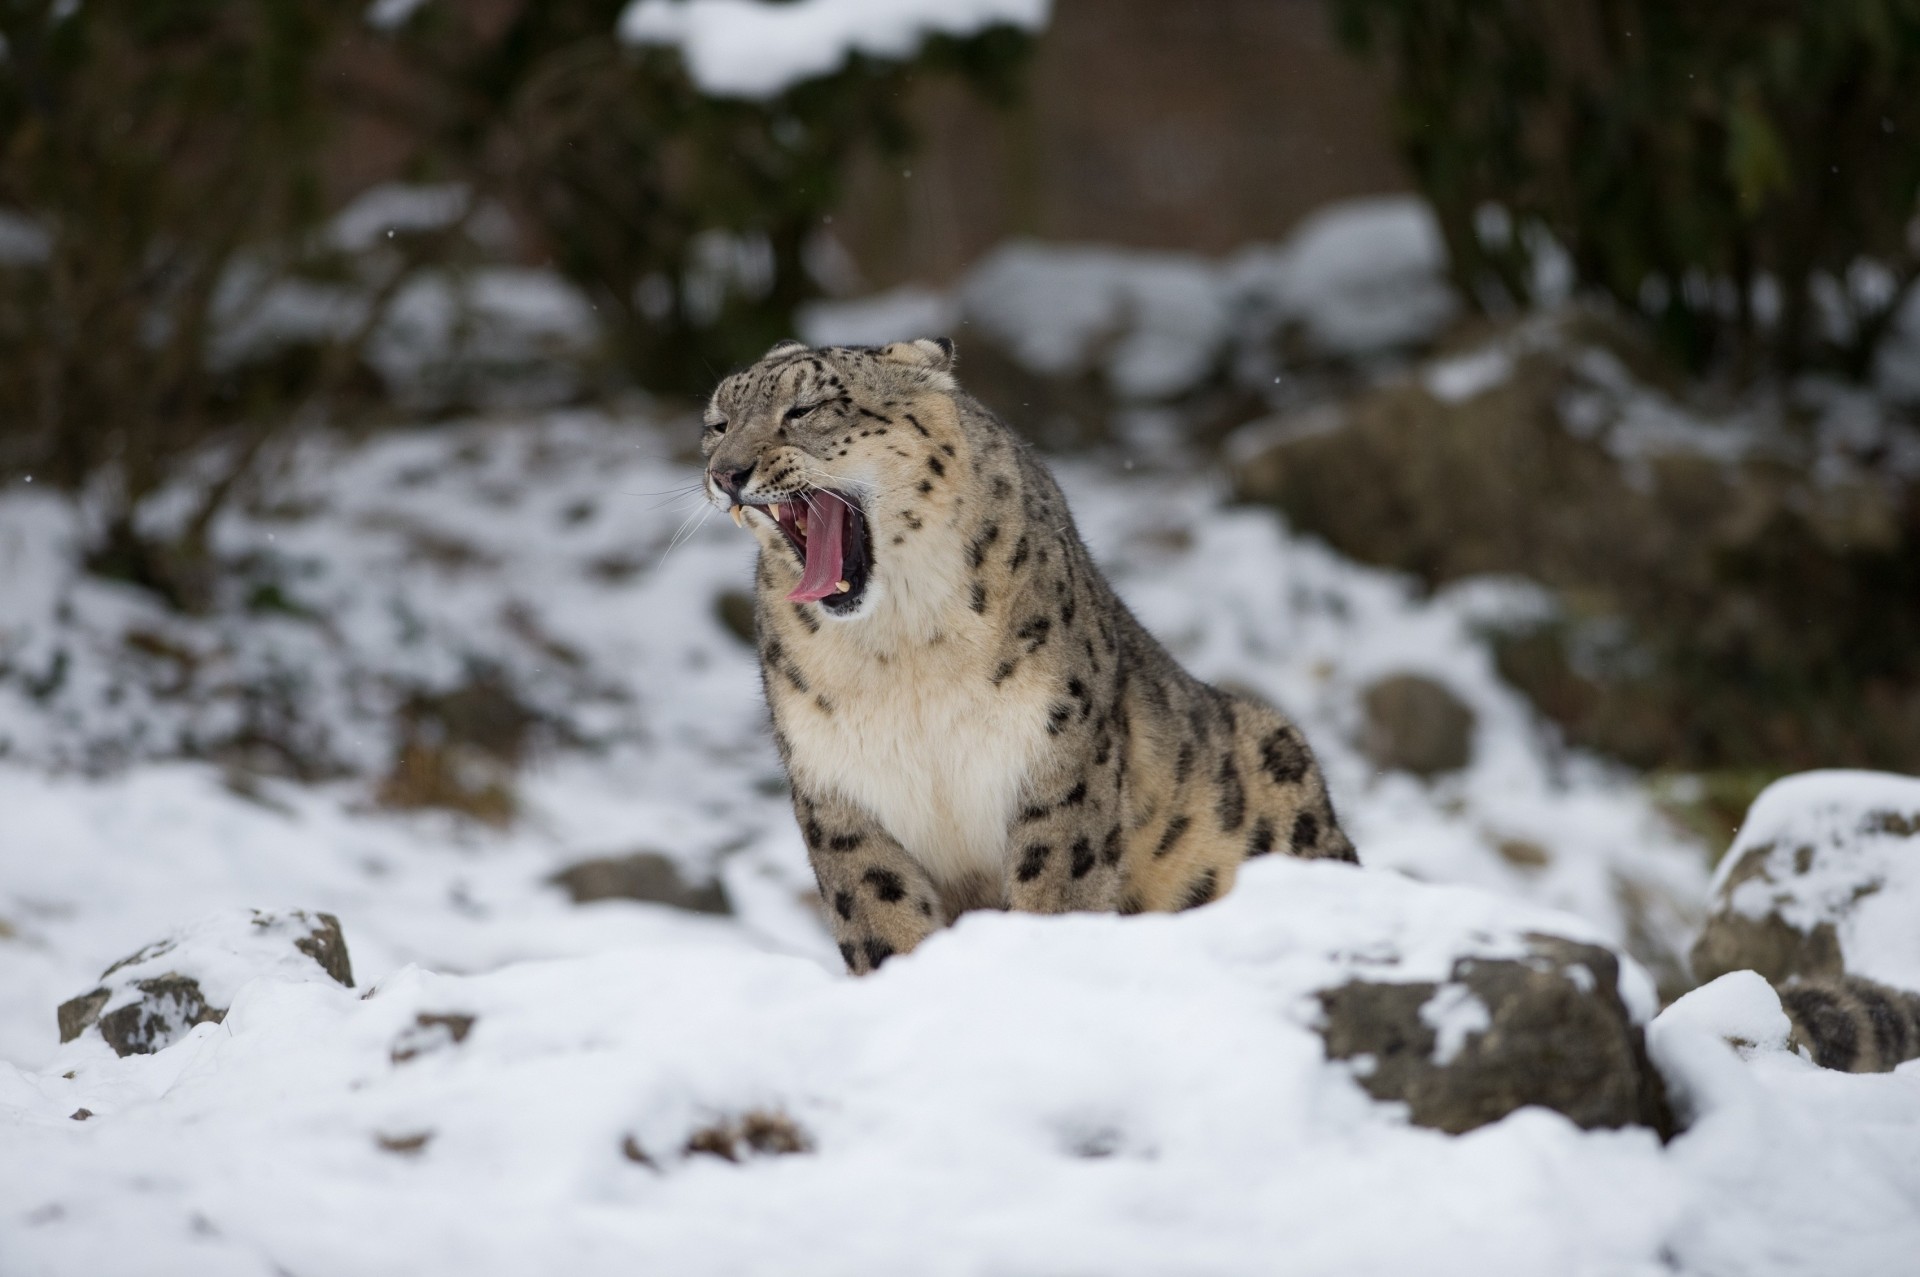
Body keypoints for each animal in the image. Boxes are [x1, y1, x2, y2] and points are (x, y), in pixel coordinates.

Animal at [701, 337, 1356, 975]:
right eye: (718, 423)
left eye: (805, 408)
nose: (726, 473)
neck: (901, 650)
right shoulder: (837, 787)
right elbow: (880, 915)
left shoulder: (1059, 754)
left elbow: (1054, 887)